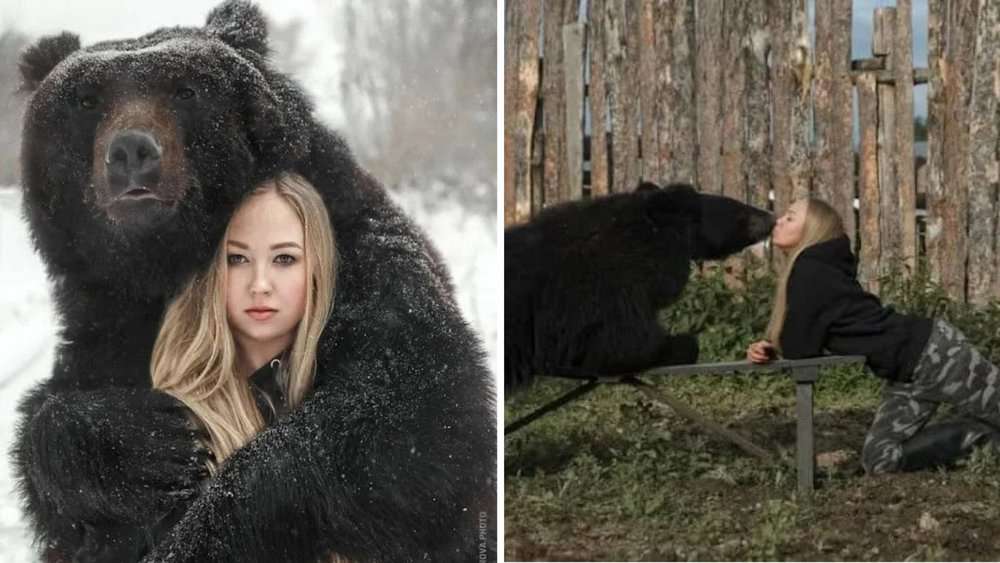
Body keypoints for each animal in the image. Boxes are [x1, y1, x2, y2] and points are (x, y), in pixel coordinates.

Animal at [11, 2, 495, 562]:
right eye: (87, 99)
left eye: (186, 89)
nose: (131, 151)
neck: (164, 265)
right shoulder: (107, 324)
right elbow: (53, 431)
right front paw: (148, 443)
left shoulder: (365, 269)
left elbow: (409, 408)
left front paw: (197, 535)